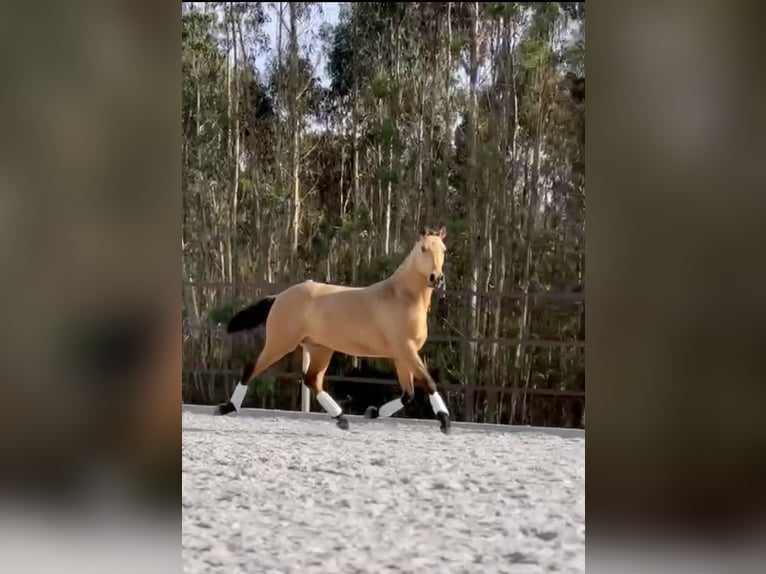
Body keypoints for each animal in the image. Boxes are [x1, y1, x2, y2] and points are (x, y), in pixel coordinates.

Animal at [216, 227, 452, 434]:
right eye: (424, 249)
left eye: (444, 249)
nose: (436, 278)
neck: (401, 297)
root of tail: (279, 296)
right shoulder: (406, 350)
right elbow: (428, 382)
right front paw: (445, 421)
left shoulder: (402, 355)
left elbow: (408, 394)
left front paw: (372, 412)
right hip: (280, 343)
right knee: (251, 368)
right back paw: (227, 407)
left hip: (320, 348)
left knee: (312, 380)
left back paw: (341, 418)